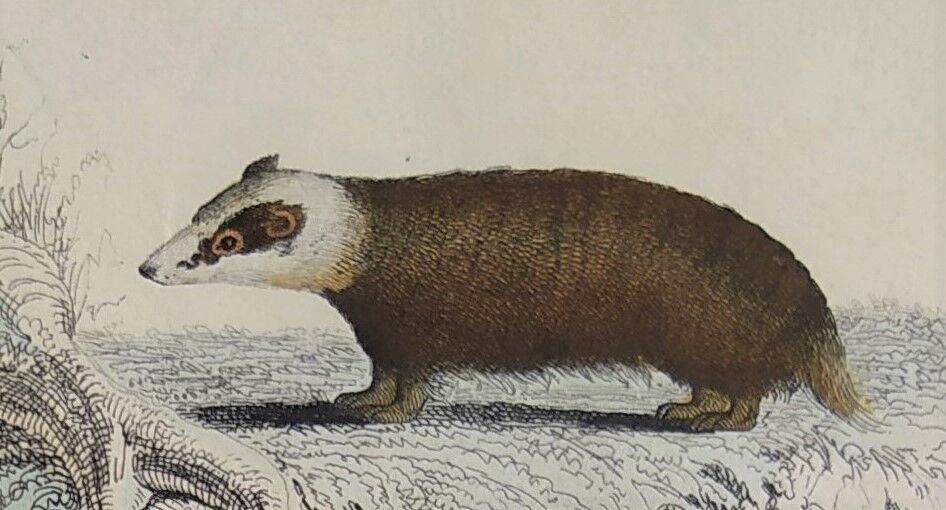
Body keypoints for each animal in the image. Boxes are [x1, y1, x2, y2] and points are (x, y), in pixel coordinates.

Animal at [139, 155, 870, 431]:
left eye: (227, 241)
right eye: (201, 214)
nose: (149, 267)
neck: (372, 240)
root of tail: (810, 310)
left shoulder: (405, 322)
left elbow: (409, 383)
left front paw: (384, 410)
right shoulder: (379, 328)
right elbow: (382, 374)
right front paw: (360, 398)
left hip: (717, 336)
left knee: (748, 394)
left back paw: (713, 418)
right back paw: (688, 406)